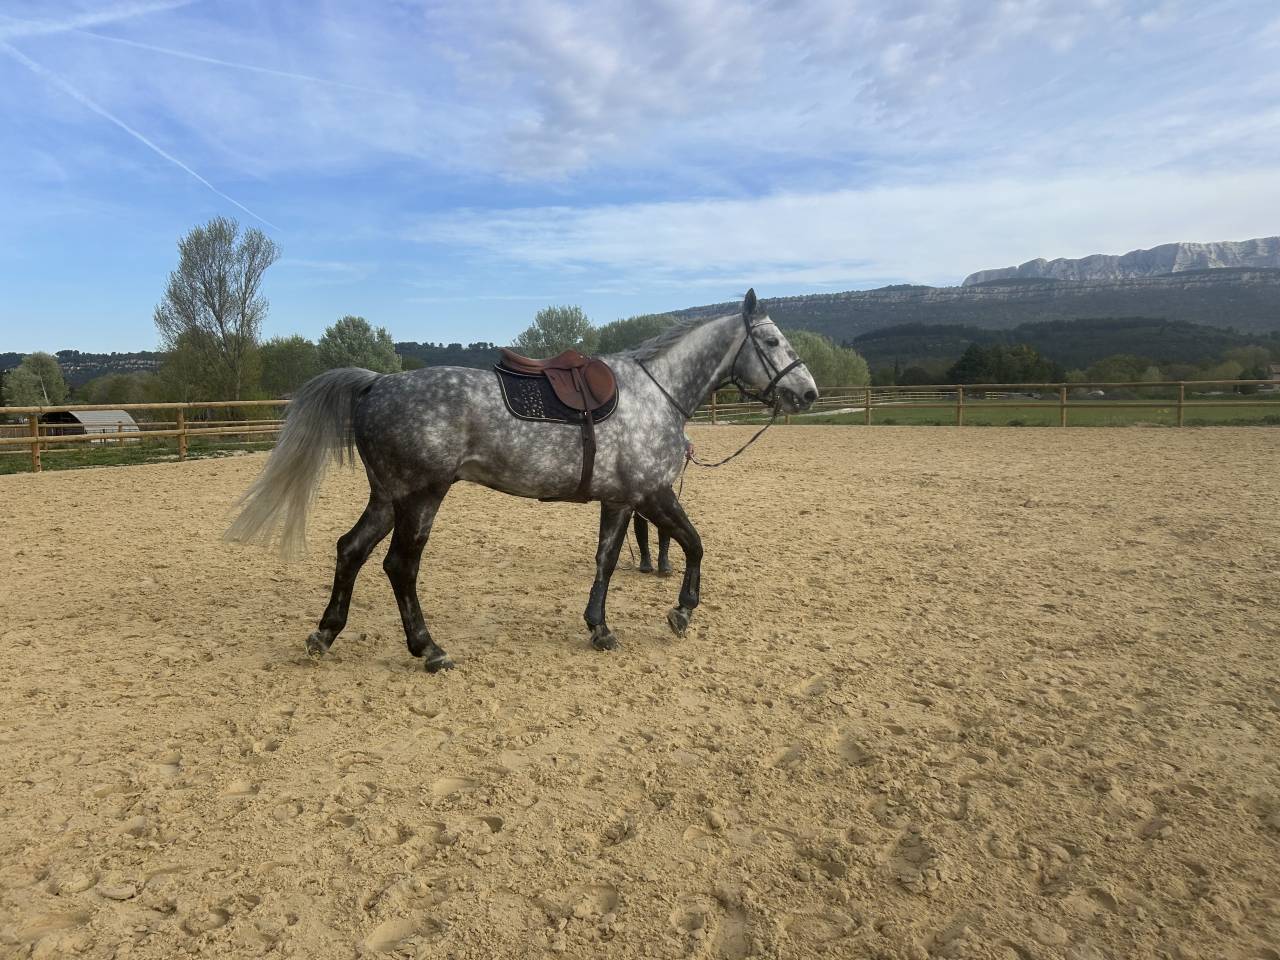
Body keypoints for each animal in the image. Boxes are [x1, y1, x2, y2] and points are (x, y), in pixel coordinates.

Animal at [225, 289, 818, 671]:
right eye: (772, 341)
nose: (807, 392)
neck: (657, 392)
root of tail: (377, 383)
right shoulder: (648, 494)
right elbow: (689, 545)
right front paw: (680, 612)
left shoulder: (625, 499)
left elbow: (614, 558)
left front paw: (602, 626)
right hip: (422, 496)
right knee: (400, 566)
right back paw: (428, 650)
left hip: (389, 496)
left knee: (351, 550)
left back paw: (325, 633)